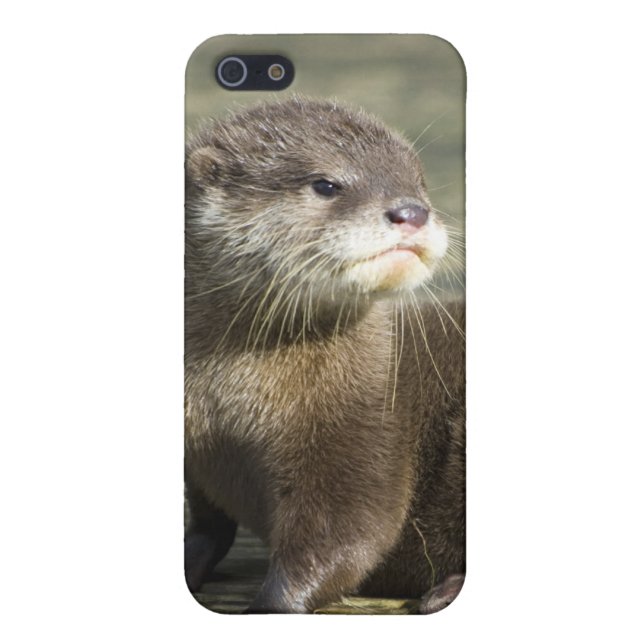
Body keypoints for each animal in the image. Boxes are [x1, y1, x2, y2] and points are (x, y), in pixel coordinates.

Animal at [184, 96, 465, 614]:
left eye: (417, 181)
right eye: (326, 184)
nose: (412, 211)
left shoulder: (363, 436)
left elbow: (349, 537)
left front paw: (266, 606)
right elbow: (210, 525)